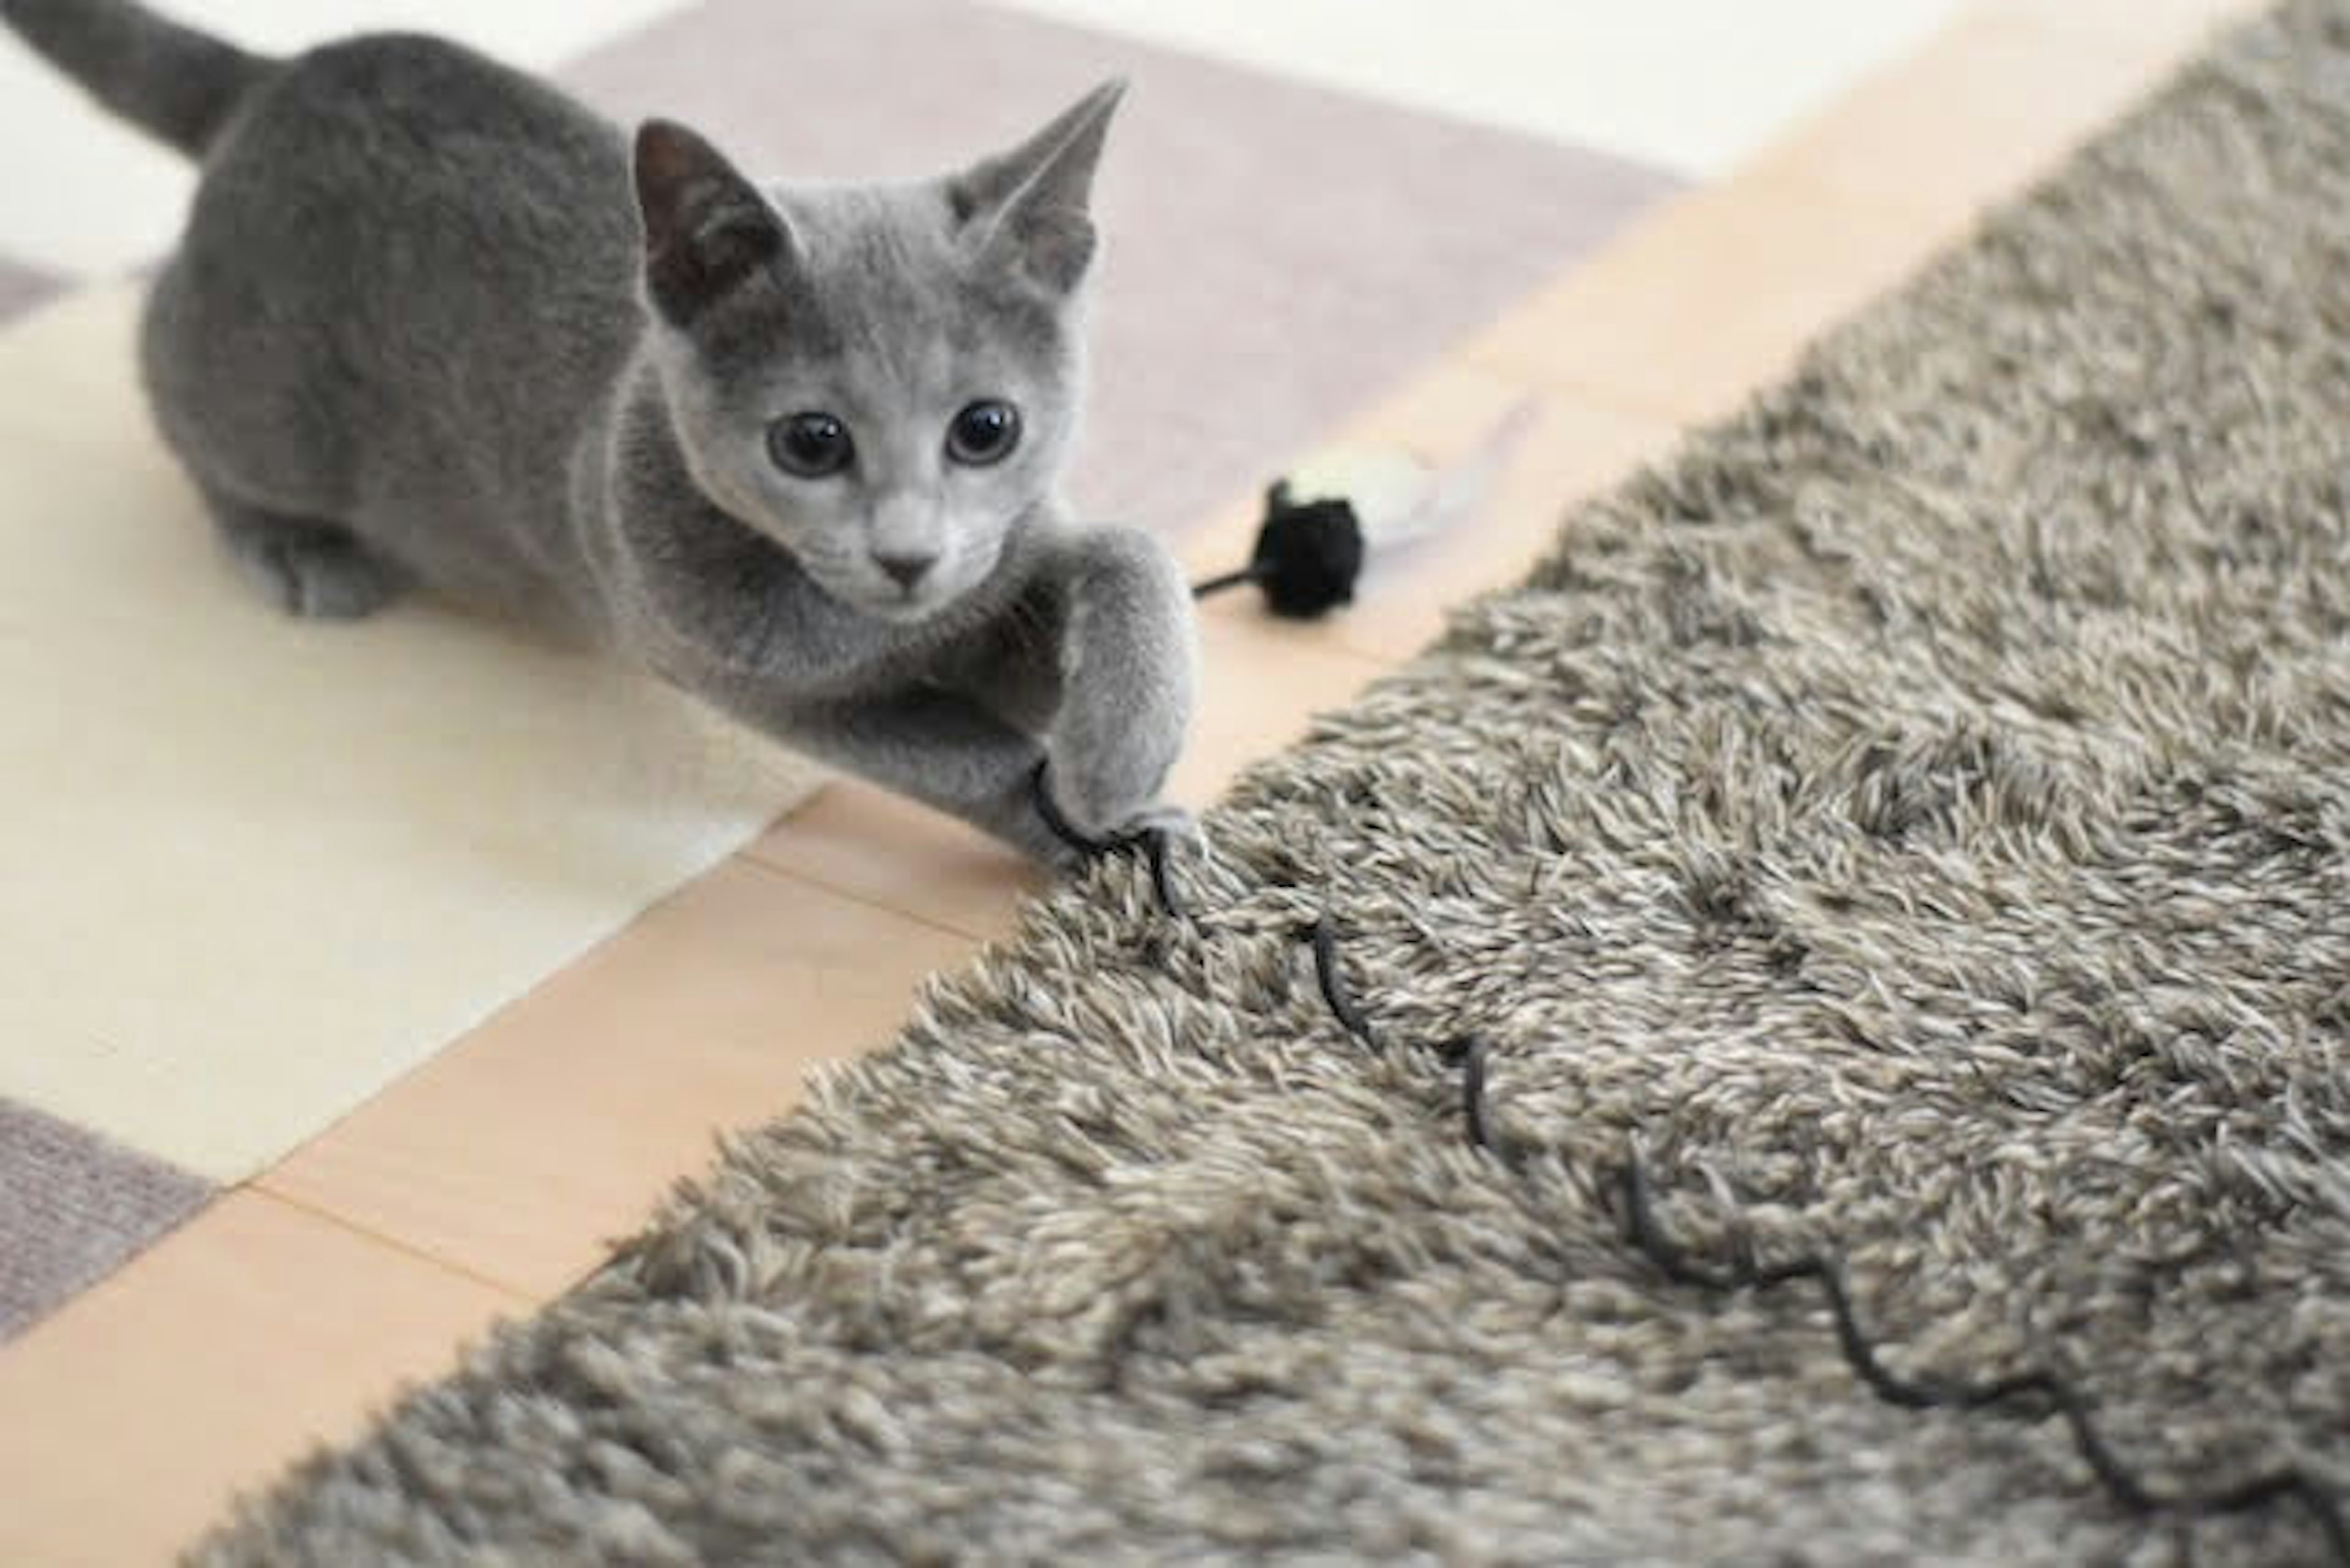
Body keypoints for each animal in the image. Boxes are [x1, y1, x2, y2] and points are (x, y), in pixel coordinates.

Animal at [4, 0, 1193, 865]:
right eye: (811, 443)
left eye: (987, 429)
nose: (907, 555)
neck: (883, 628)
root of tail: (279, 74)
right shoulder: (744, 675)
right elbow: (961, 753)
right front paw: (1082, 818)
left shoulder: (999, 563)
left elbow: (1132, 553)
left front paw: (1120, 755)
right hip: (259, 399)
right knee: (162, 355)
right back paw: (293, 546)